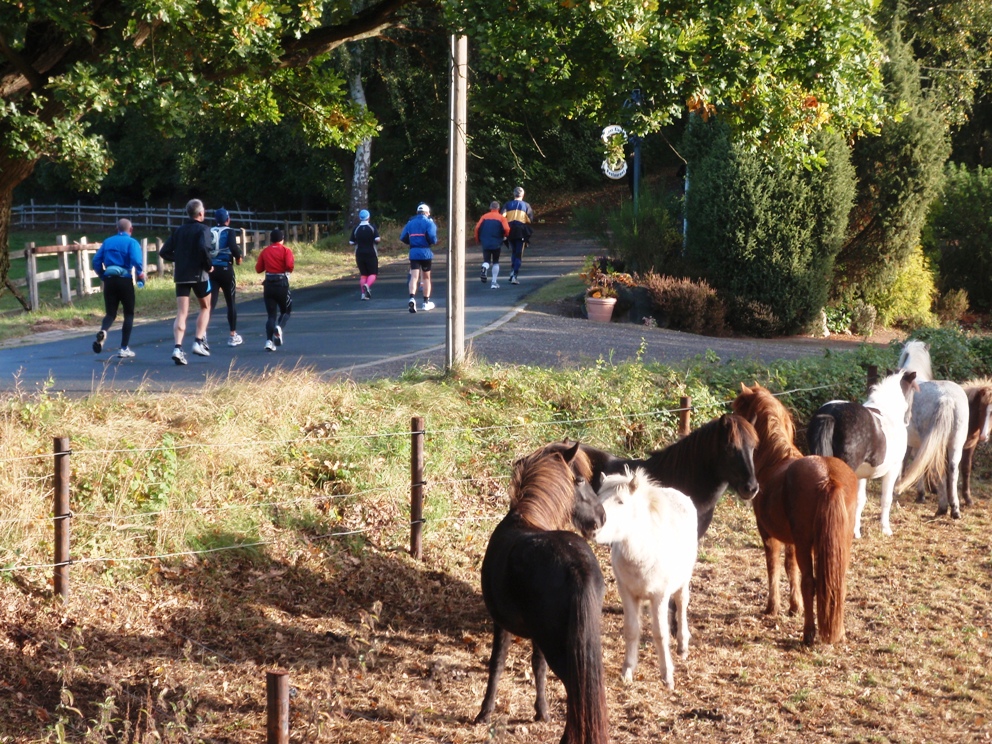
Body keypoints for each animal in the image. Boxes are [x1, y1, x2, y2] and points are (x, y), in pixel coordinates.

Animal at [476, 444, 608, 740]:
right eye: (579, 480)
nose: (601, 517)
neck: (526, 517)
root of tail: (576, 565)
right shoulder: (535, 636)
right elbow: (538, 666)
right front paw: (541, 711)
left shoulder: (501, 623)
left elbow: (497, 662)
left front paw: (484, 712)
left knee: (575, 689)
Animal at [596, 468, 696, 688]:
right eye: (598, 498)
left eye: (621, 502)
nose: (594, 524)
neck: (644, 551)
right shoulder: (627, 592)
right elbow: (631, 630)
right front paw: (627, 671)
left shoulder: (659, 596)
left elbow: (660, 633)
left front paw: (667, 677)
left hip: (683, 580)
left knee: (681, 603)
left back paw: (683, 645)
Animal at [728, 384, 860, 644]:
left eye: (739, 410)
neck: (774, 459)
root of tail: (829, 478)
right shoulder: (790, 540)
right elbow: (790, 568)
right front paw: (793, 606)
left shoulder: (769, 534)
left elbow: (774, 566)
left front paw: (773, 607)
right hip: (839, 543)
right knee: (835, 581)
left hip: (805, 543)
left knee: (810, 582)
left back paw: (809, 633)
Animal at [892, 342, 968, 516]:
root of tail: (947, 398)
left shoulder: (914, 444)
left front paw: (919, 494)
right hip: (955, 444)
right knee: (952, 470)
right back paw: (954, 509)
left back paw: (942, 508)